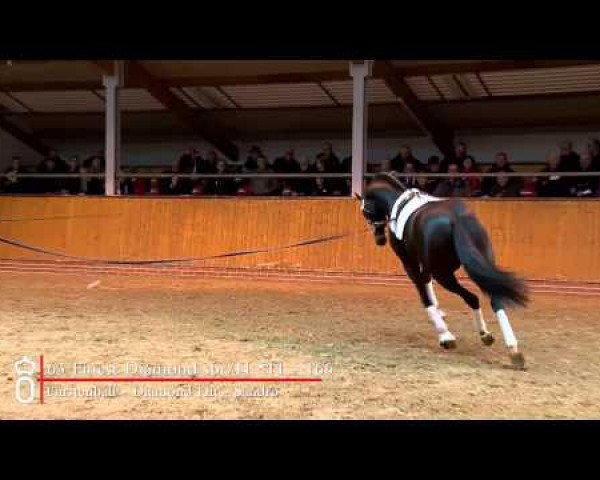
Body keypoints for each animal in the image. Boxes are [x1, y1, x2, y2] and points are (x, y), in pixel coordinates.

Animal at [358, 174, 528, 370]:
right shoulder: (425, 266)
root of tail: (456, 218)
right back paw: (508, 347)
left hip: (443, 274)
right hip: (480, 264)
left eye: (365, 210)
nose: (379, 239)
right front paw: (441, 315)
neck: (397, 203)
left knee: (472, 298)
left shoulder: (410, 264)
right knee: (494, 299)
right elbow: (428, 287)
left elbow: (424, 295)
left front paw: (444, 335)